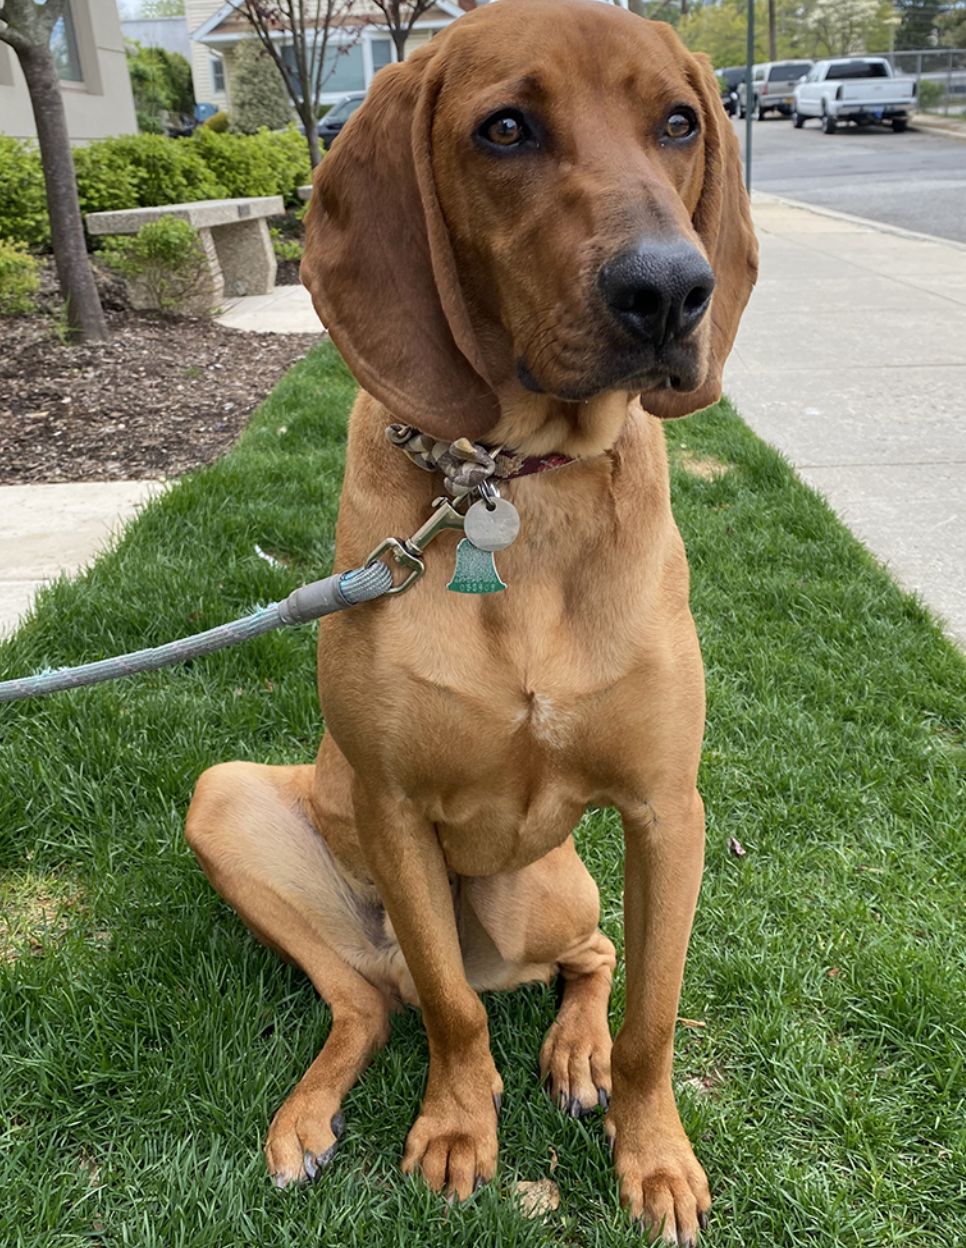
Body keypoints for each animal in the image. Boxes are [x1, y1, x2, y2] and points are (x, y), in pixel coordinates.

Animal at [183, 2, 758, 1238]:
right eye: (504, 129)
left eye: (680, 121)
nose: (671, 291)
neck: (512, 480)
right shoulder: (394, 808)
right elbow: (454, 1011)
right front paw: (456, 1126)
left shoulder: (666, 810)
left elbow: (654, 1020)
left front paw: (655, 1157)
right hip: (232, 804)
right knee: (381, 998)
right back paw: (315, 1117)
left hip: (548, 890)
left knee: (591, 954)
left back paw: (576, 1055)